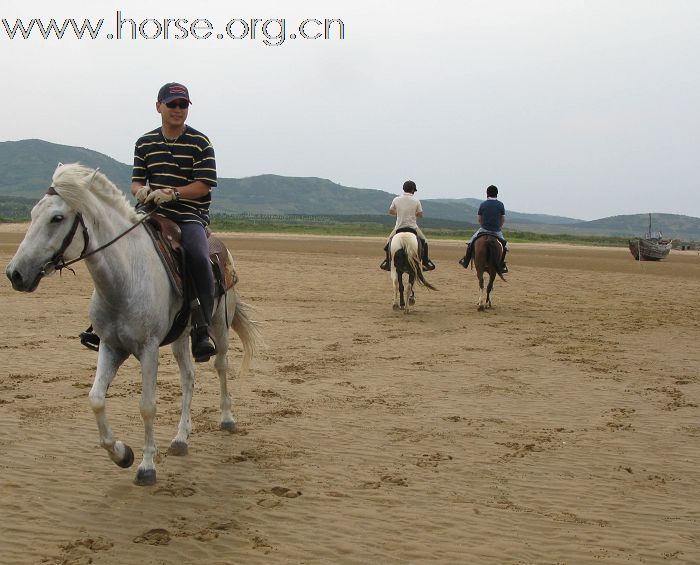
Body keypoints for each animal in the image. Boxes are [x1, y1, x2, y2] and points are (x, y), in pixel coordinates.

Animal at [4, 163, 262, 484]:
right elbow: (96, 399)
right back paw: (181, 438)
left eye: (57, 217)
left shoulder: (148, 350)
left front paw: (147, 466)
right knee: (188, 377)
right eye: (32, 213)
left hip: (219, 323)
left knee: (221, 365)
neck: (124, 278)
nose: (15, 273)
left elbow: (147, 406)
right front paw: (121, 453)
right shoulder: (110, 346)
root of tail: (222, 249)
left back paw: (227, 418)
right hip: (182, 336)